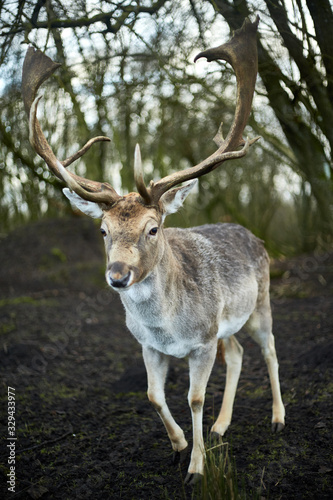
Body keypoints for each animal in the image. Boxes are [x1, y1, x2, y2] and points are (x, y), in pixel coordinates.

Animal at [22, 17, 284, 486]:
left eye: (153, 228)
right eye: (102, 230)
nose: (118, 275)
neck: (169, 328)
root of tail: (251, 233)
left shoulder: (202, 341)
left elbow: (194, 399)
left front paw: (197, 468)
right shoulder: (148, 346)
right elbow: (151, 395)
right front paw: (179, 446)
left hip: (262, 302)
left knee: (270, 349)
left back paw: (277, 418)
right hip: (228, 324)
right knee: (237, 353)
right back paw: (221, 427)